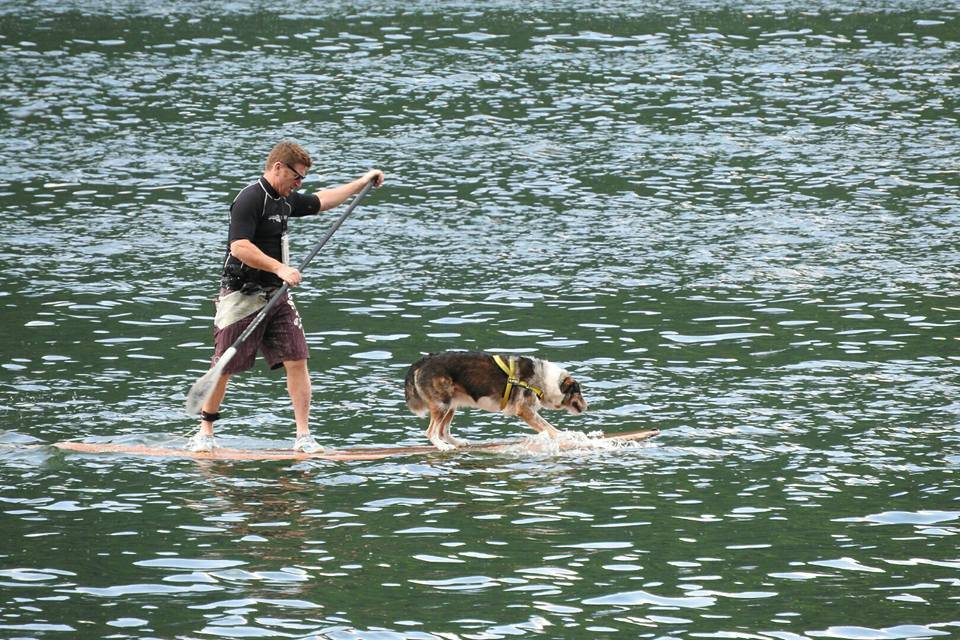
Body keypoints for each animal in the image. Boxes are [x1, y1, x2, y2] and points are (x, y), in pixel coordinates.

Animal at [404, 350, 588, 450]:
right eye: (578, 392)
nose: (587, 406)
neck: (545, 381)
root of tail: (424, 360)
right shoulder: (525, 410)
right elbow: (549, 428)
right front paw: (564, 436)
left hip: (451, 404)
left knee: (442, 430)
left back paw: (456, 442)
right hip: (443, 403)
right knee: (431, 432)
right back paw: (442, 446)